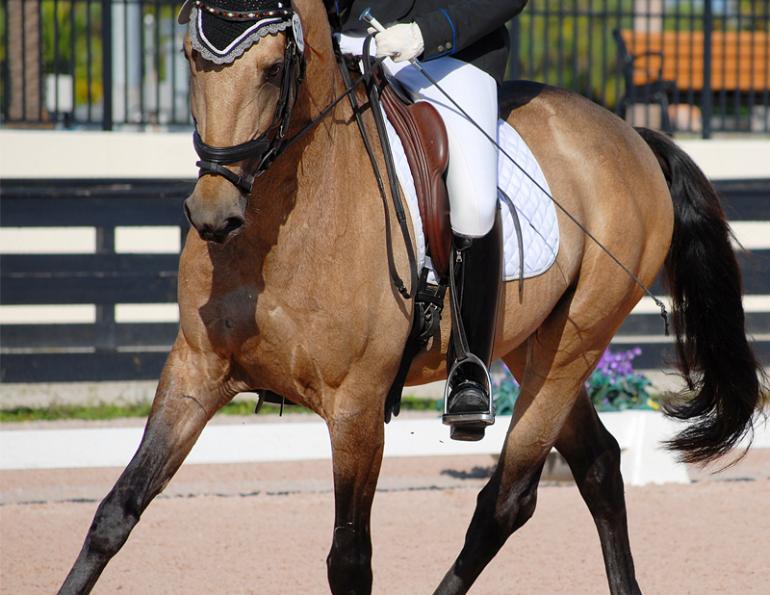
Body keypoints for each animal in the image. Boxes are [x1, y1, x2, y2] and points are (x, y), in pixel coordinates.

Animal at [60, 2, 764, 593]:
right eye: (189, 58)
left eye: (272, 69)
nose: (212, 214)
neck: (282, 224)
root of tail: (630, 134)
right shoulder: (195, 370)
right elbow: (116, 511)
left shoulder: (357, 407)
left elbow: (349, 560)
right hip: (532, 347)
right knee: (598, 464)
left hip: (574, 346)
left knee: (507, 500)